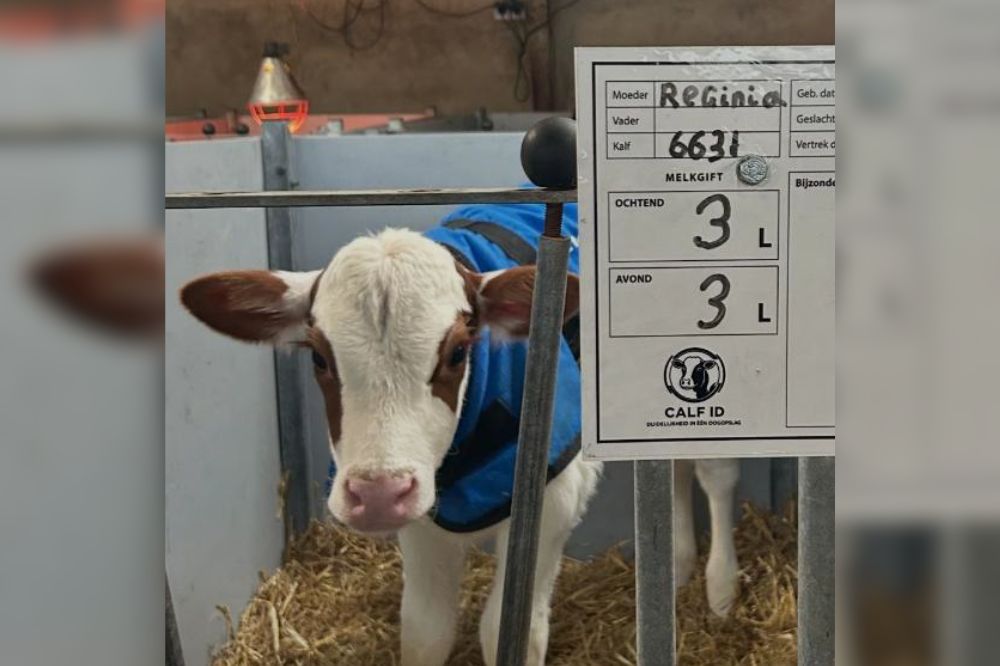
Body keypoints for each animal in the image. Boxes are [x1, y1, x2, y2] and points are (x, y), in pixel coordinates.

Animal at [179, 202, 741, 666]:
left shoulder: (554, 498)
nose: (376, 494)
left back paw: (721, 586)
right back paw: (678, 563)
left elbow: (511, 633)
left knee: (714, 471)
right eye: (317, 356)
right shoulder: (421, 509)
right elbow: (425, 631)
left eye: (456, 352)